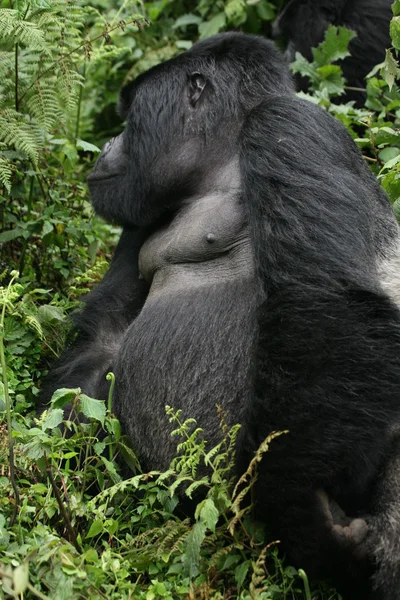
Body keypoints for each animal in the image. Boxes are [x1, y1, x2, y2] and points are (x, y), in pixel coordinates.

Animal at [41, 34, 400, 600]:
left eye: (130, 116)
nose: (104, 146)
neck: (221, 165)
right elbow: (105, 341)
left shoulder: (288, 126)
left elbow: (326, 301)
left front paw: (306, 515)